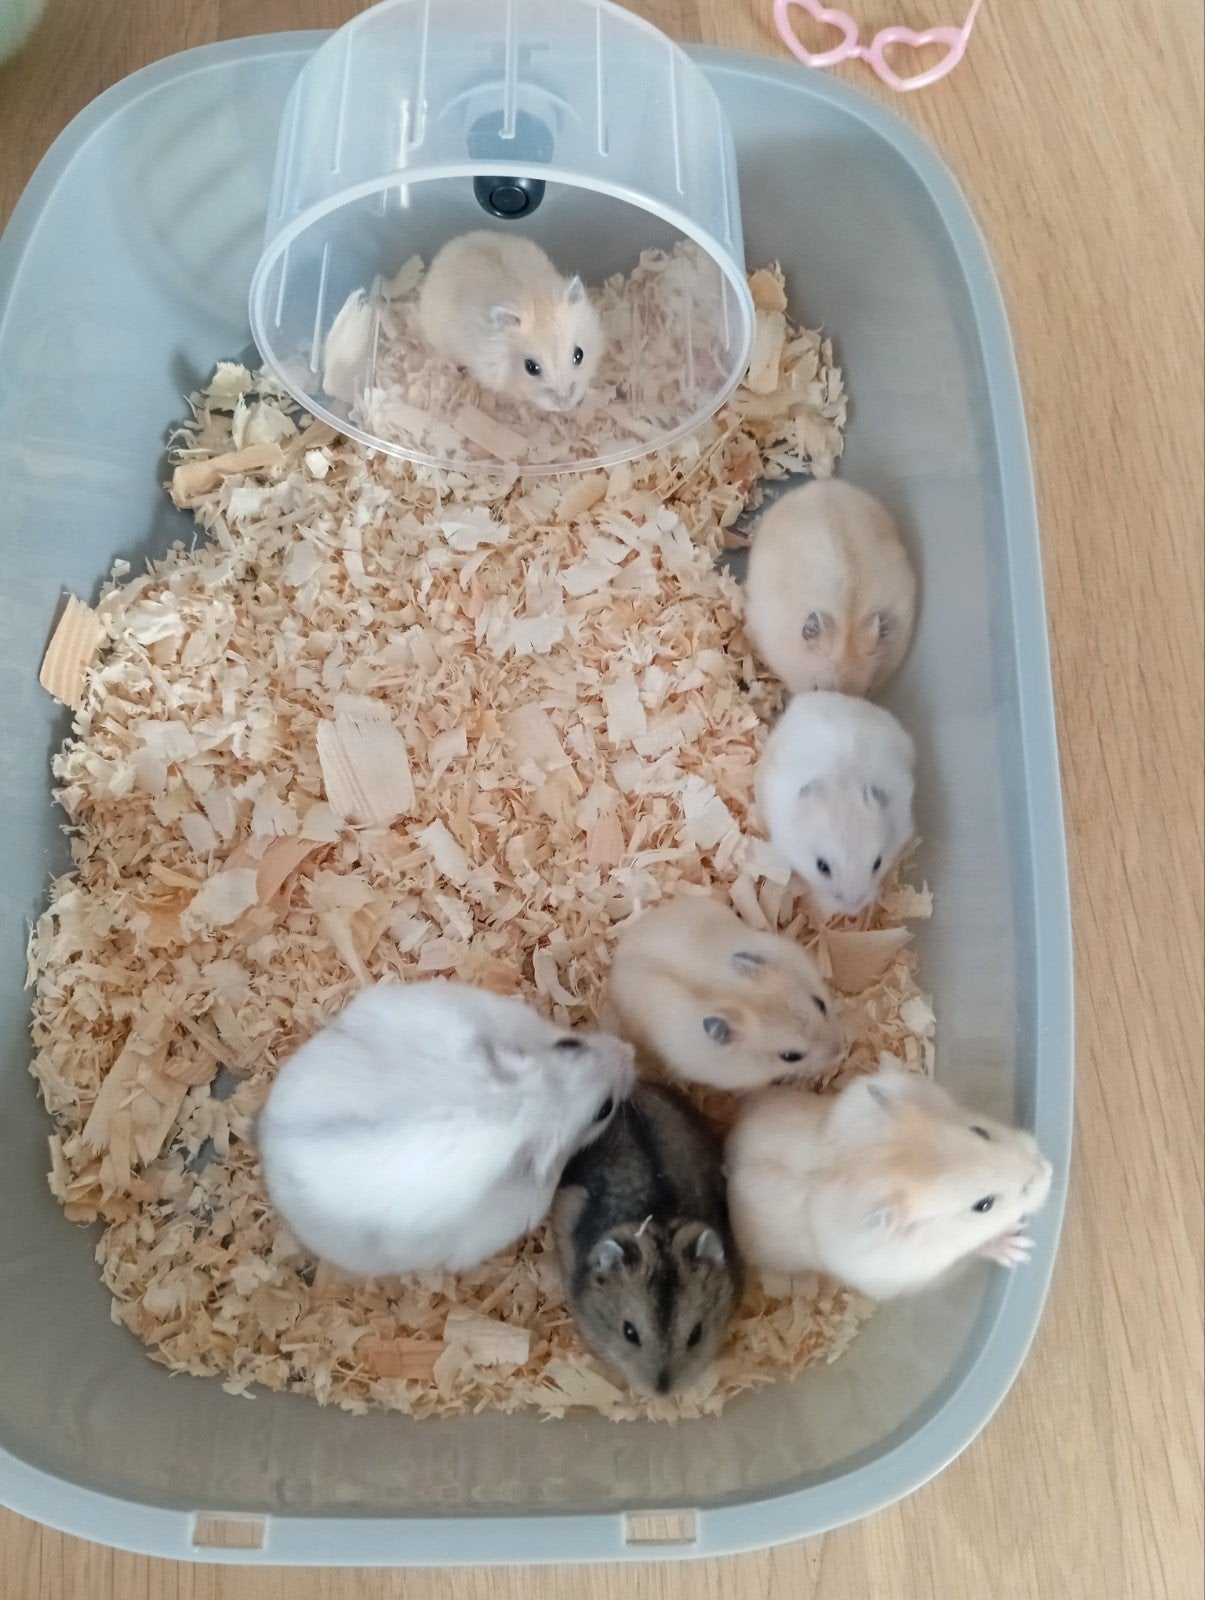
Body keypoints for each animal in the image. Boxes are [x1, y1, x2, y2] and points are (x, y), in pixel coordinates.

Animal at [726, 1062, 1053, 1300]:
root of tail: (727, 1158)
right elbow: (975, 1251)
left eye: (980, 1131)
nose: (1050, 1172)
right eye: (984, 1205)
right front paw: (1018, 1248)